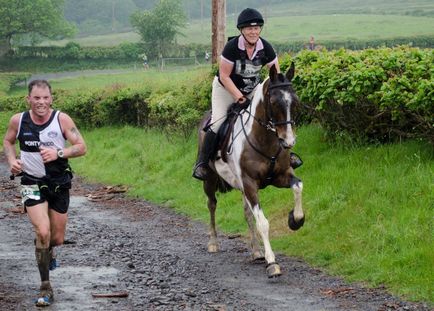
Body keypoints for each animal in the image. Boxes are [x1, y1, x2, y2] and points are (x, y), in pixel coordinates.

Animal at [198, 63, 304, 278]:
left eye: (295, 100)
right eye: (274, 102)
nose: (288, 141)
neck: (265, 140)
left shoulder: (281, 177)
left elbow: (298, 186)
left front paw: (295, 220)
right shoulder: (250, 184)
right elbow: (262, 222)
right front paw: (272, 263)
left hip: (240, 186)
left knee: (247, 213)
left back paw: (256, 252)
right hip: (210, 180)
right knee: (211, 204)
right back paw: (213, 242)